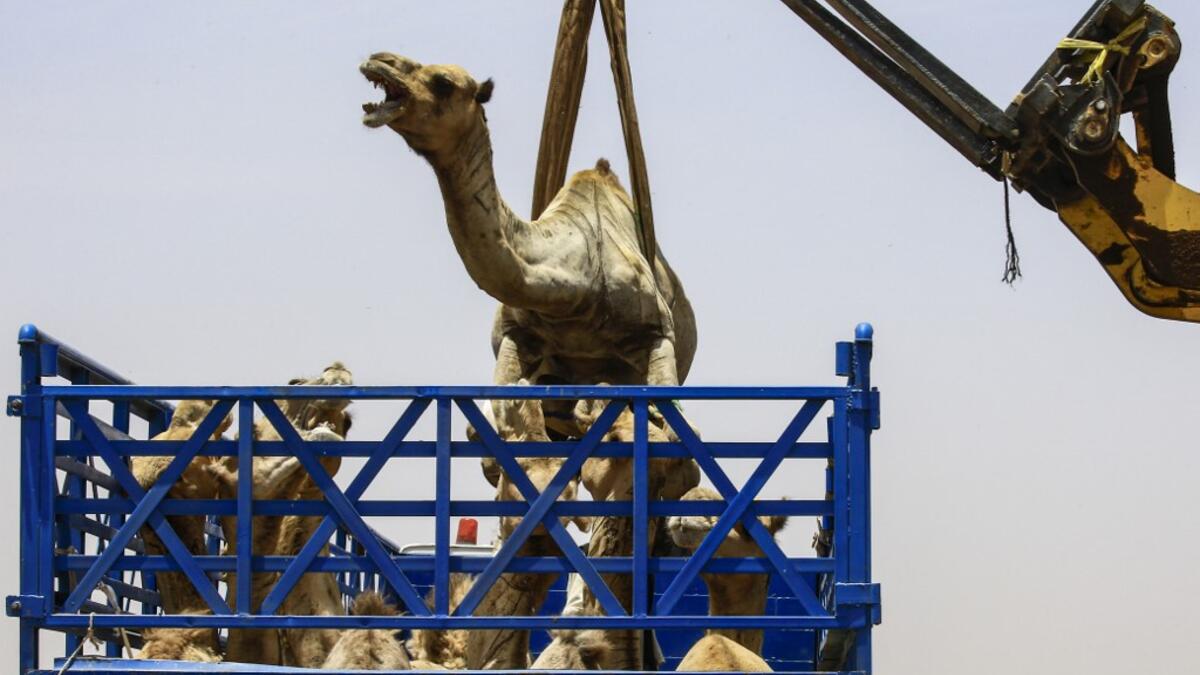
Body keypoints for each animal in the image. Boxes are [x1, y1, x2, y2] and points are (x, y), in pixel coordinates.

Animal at [358, 53, 697, 442]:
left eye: (443, 82)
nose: (379, 61)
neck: (577, 285)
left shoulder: (657, 333)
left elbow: (673, 429)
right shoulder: (516, 333)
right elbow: (498, 419)